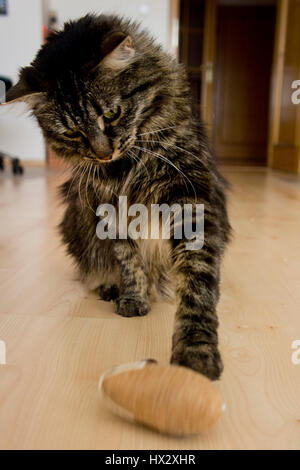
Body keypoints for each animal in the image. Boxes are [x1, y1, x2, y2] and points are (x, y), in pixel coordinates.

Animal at [5, 14, 232, 380]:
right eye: (73, 133)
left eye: (111, 114)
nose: (103, 154)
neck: (127, 164)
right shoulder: (107, 208)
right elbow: (128, 259)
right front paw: (133, 296)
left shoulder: (190, 196)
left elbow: (196, 282)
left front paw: (196, 350)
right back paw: (112, 288)